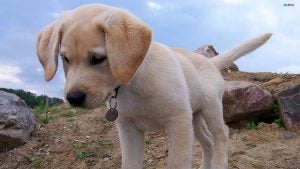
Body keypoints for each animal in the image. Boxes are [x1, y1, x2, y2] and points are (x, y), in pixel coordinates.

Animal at [35, 3, 272, 168]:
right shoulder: (128, 130)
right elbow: (130, 164)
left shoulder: (178, 121)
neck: (133, 83)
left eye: (97, 59)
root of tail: (209, 61)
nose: (73, 98)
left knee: (222, 135)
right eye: (65, 58)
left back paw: (219, 164)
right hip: (194, 117)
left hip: (210, 108)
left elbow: (177, 163)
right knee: (207, 143)